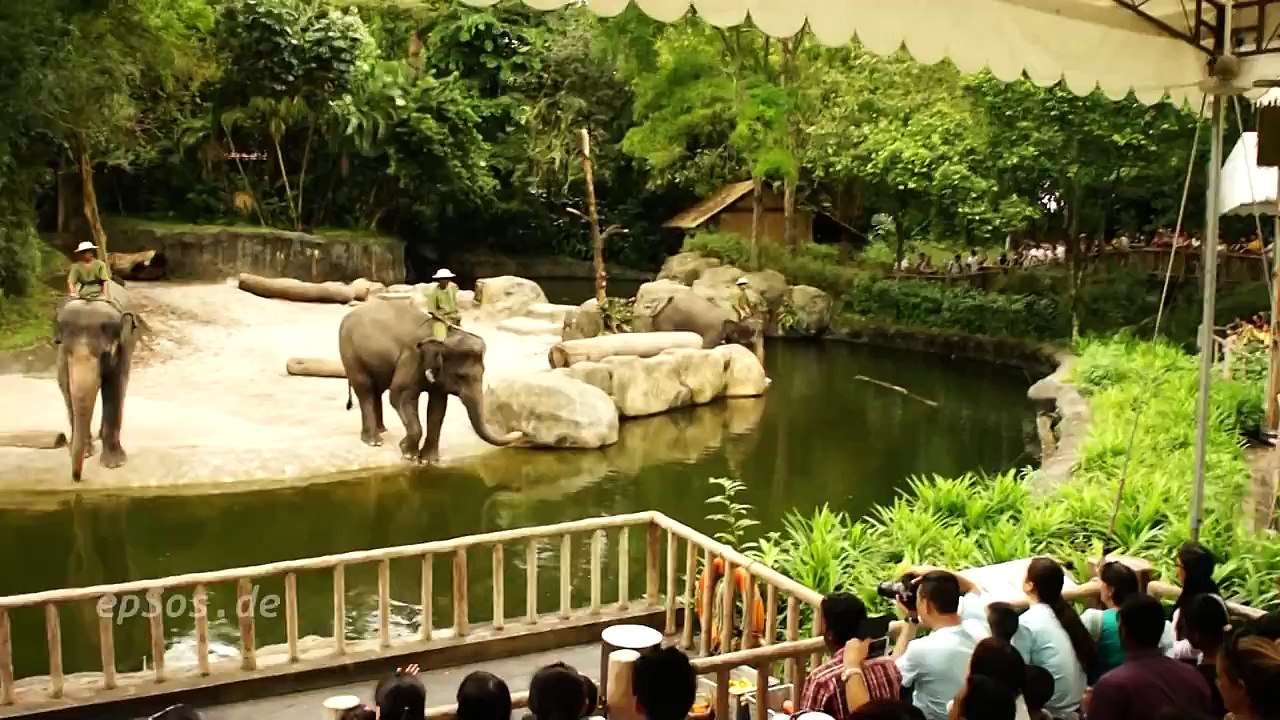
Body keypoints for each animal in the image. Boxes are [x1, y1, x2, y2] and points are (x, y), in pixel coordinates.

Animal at [54, 281, 138, 482]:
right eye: (66, 350)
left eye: (105, 353)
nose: (77, 478)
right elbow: (66, 386)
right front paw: (84, 453)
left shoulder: (124, 347)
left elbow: (115, 387)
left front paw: (114, 464)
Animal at [337, 299, 522, 463]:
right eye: (461, 376)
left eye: (483, 373)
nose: (518, 433)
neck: (446, 336)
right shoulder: (411, 358)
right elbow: (399, 396)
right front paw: (408, 454)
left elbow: (437, 408)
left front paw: (428, 460)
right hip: (350, 352)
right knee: (365, 389)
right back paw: (374, 441)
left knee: (377, 389)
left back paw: (382, 430)